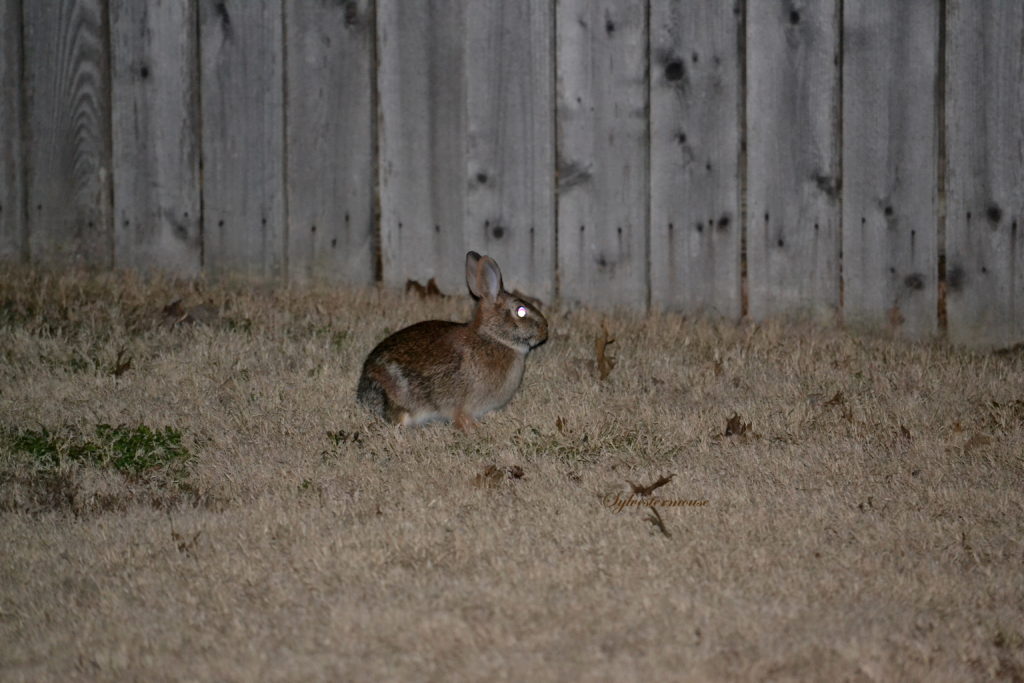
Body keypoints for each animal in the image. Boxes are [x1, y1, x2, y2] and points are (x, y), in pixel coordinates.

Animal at [360, 250, 552, 432]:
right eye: (521, 311)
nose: (545, 330)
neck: (493, 338)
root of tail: (362, 392)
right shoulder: (461, 405)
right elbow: (460, 417)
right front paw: (472, 429)